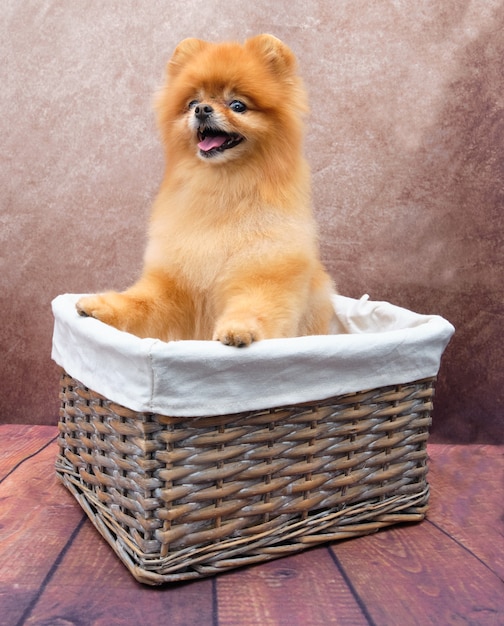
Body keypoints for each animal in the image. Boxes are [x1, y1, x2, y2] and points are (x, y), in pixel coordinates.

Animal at [77, 34, 334, 346]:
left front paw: (240, 329)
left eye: (237, 105)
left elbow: (255, 307)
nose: (202, 109)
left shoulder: (263, 272)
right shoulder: (173, 284)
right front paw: (102, 305)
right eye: (192, 103)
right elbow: (139, 302)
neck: (220, 187)